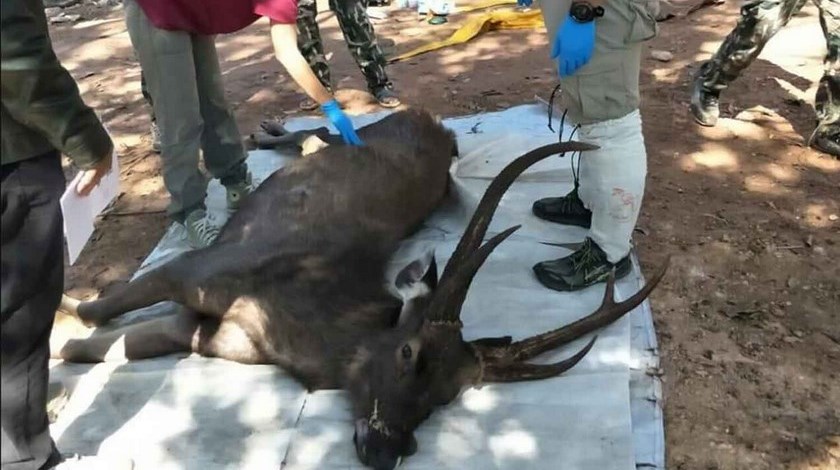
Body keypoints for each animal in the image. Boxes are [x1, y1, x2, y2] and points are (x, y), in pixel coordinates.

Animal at [55, 108, 668, 470]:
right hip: (362, 133)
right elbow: (96, 314)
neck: (302, 329)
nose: (386, 450)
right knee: (319, 130)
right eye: (408, 351)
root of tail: (435, 123)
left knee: (316, 137)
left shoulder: (209, 333)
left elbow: (97, 347)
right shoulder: (196, 269)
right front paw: (62, 307)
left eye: (450, 396)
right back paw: (267, 130)